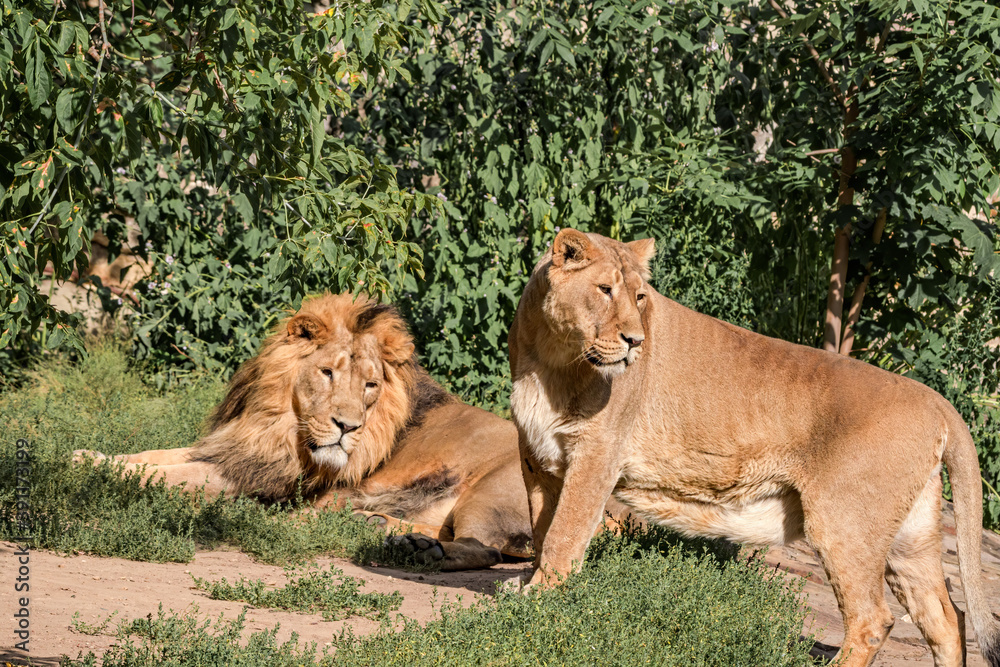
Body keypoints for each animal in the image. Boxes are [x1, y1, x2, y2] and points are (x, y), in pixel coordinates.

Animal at [508, 228, 1000, 667]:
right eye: (605, 290)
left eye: (640, 297)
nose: (636, 342)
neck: (553, 357)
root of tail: (938, 401)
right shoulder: (537, 458)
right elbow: (541, 526)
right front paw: (529, 586)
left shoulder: (598, 455)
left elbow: (564, 534)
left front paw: (538, 602)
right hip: (908, 539)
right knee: (947, 620)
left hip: (846, 524)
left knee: (873, 620)